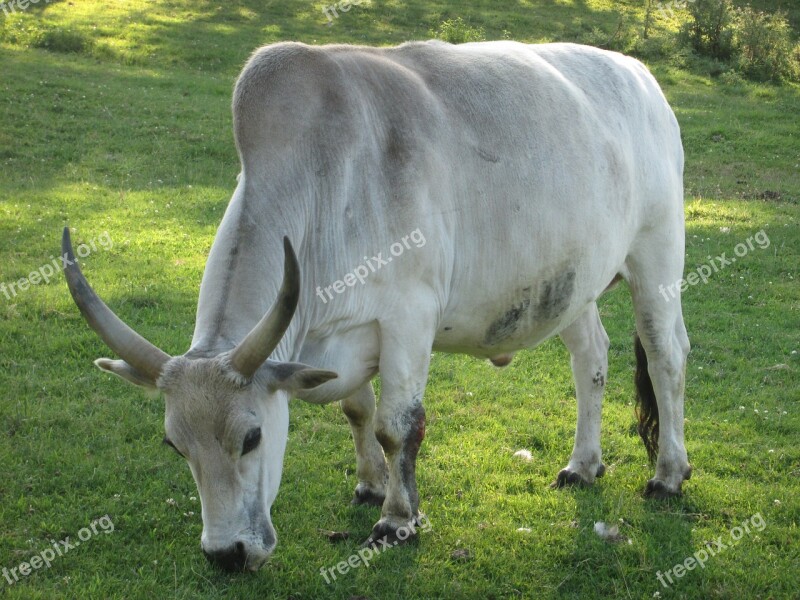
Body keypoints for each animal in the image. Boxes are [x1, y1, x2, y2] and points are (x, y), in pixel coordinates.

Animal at [62, 39, 692, 576]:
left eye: (252, 437)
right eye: (175, 445)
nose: (226, 554)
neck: (323, 181)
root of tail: (640, 75)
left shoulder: (409, 318)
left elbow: (397, 427)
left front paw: (397, 519)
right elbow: (357, 411)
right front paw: (368, 486)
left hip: (657, 257)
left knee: (666, 356)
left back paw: (668, 474)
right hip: (573, 282)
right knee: (591, 358)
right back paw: (583, 465)